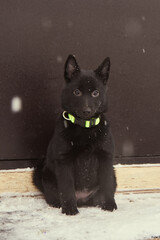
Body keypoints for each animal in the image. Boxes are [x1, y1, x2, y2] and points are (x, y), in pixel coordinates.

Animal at [32, 54, 117, 216]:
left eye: (95, 93)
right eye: (77, 92)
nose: (86, 111)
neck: (85, 129)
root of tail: (83, 200)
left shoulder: (106, 157)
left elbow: (107, 183)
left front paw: (109, 204)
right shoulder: (64, 160)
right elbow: (67, 187)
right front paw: (70, 208)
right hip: (47, 176)